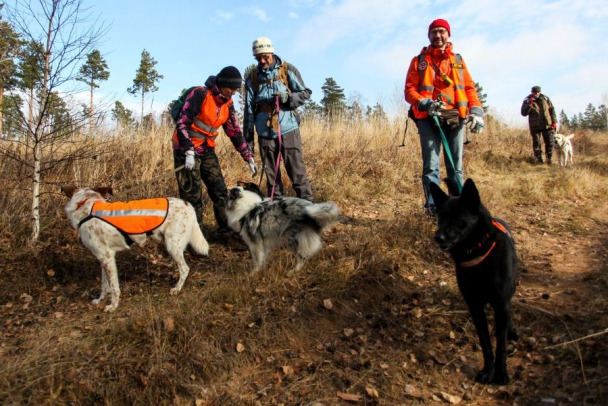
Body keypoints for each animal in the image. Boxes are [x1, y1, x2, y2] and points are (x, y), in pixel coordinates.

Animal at [61, 186, 209, 312]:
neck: (86, 206)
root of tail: (187, 204)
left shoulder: (107, 257)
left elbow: (114, 287)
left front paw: (113, 305)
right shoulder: (102, 258)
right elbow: (104, 285)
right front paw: (100, 300)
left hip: (172, 245)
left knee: (185, 269)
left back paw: (177, 288)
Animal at [428, 178, 516, 384]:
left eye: (458, 217)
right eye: (440, 216)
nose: (438, 237)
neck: (477, 251)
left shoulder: (501, 304)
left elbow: (500, 342)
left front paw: (501, 373)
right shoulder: (474, 305)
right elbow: (485, 342)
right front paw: (488, 371)